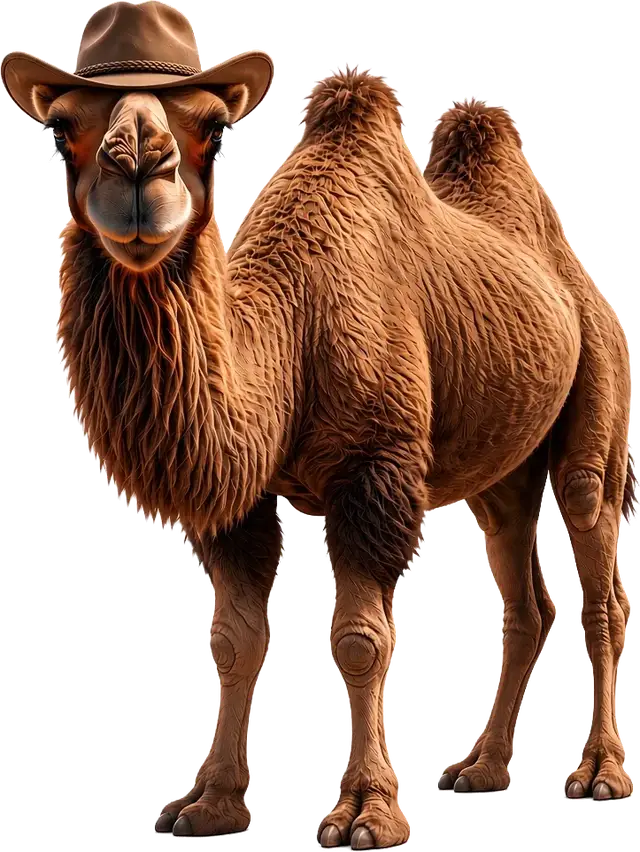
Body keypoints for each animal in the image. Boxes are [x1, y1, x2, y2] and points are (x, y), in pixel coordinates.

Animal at [27, 69, 635, 846]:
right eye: (60, 126)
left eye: (211, 129)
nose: (136, 161)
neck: (290, 330)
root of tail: (584, 286)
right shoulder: (240, 495)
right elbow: (235, 641)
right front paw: (210, 804)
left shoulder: (374, 470)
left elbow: (359, 640)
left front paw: (366, 813)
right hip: (503, 461)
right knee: (524, 591)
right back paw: (481, 767)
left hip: (600, 379)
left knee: (597, 560)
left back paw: (600, 776)